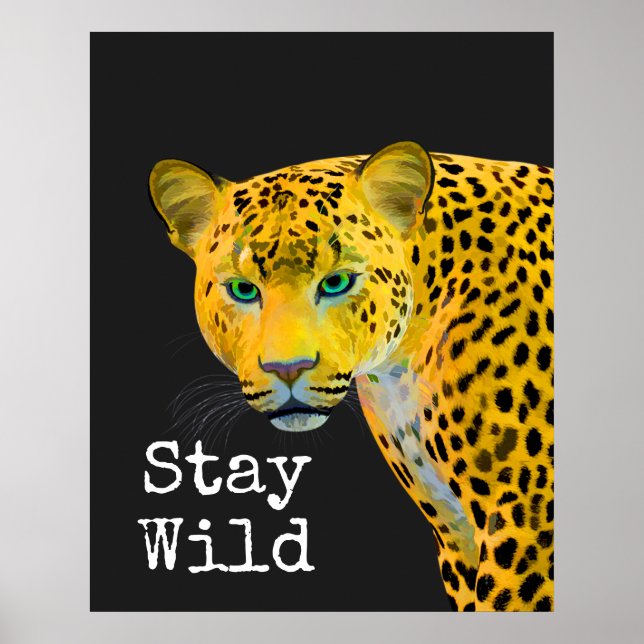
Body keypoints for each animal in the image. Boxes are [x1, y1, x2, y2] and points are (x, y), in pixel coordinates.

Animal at [148, 141, 554, 611]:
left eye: (337, 282)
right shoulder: (455, 531)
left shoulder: (527, 515)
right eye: (243, 290)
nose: (288, 368)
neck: (400, 368)